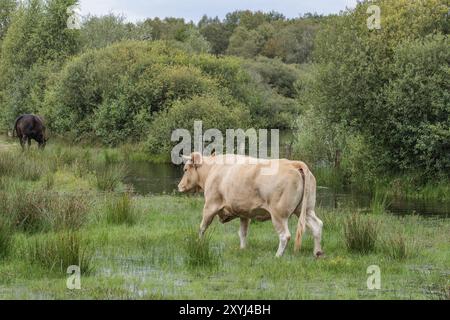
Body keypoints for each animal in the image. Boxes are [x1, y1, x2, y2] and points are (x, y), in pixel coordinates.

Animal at [177, 152, 324, 258]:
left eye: (185, 169)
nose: (179, 186)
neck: (212, 169)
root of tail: (293, 163)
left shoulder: (210, 205)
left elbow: (202, 227)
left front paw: (198, 243)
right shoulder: (244, 212)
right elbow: (242, 232)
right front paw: (242, 249)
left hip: (279, 214)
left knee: (285, 235)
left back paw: (278, 256)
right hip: (306, 209)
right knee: (317, 225)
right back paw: (317, 253)